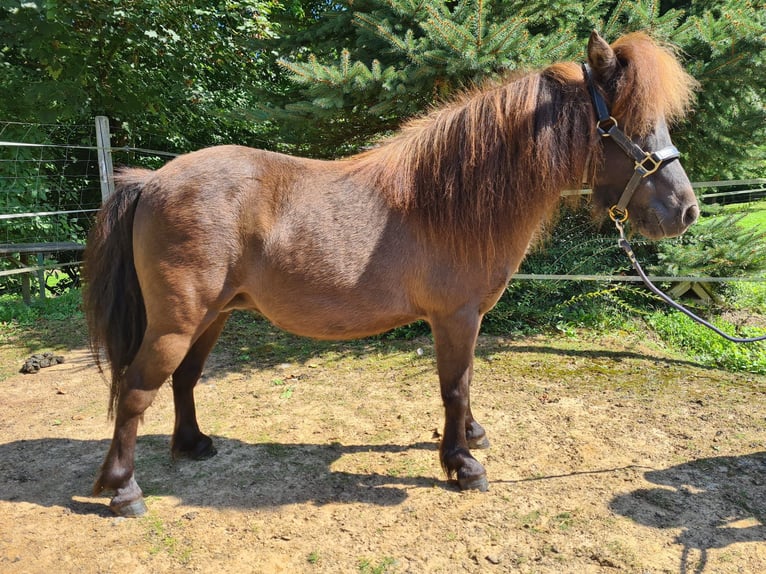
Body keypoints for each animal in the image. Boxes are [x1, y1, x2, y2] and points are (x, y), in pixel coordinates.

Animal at [84, 31, 699, 516]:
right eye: (626, 122)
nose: (686, 211)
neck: (451, 199)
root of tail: (152, 181)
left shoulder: (467, 319)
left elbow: (466, 383)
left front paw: (471, 436)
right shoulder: (455, 317)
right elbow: (454, 385)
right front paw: (462, 464)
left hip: (212, 316)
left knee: (183, 380)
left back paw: (193, 445)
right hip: (176, 323)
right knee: (136, 389)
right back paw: (123, 490)